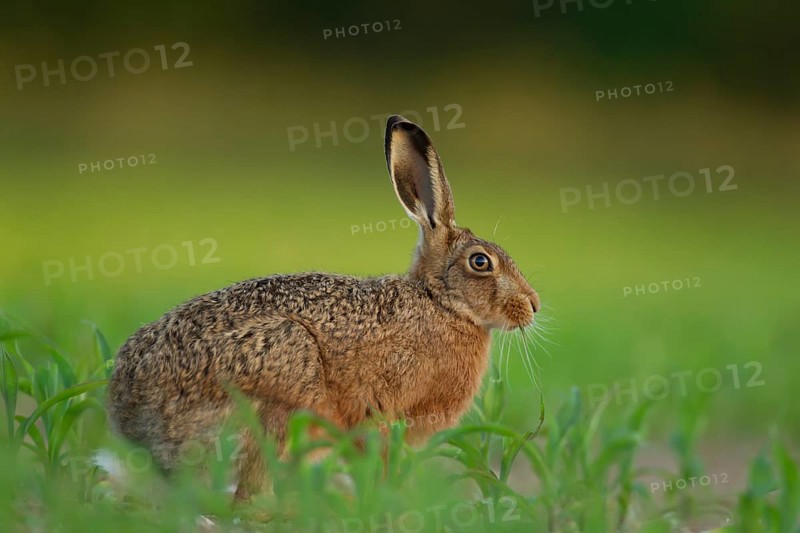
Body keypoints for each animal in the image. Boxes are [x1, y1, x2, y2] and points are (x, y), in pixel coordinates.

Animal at [107, 115, 541, 501]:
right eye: (480, 262)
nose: (533, 304)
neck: (441, 303)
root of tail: (129, 414)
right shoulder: (379, 414)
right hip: (280, 386)